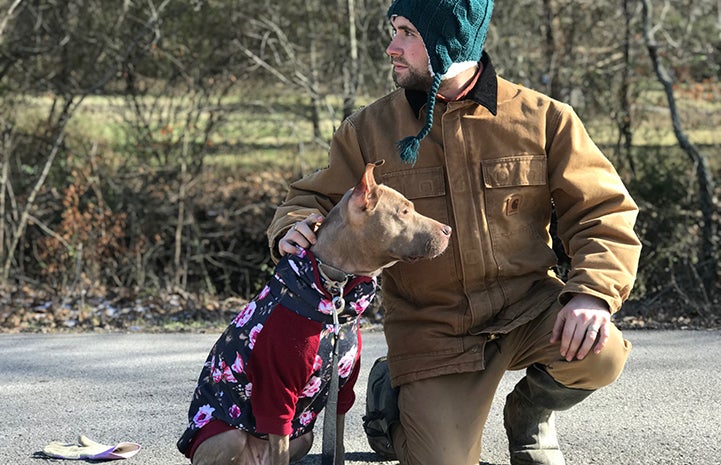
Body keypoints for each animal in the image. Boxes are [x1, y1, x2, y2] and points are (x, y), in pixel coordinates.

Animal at [176, 160, 450, 464]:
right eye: (403, 212)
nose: (448, 230)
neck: (334, 288)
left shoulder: (342, 389)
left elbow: (337, 444)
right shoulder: (275, 394)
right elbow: (280, 440)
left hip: (303, 438)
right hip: (228, 437)